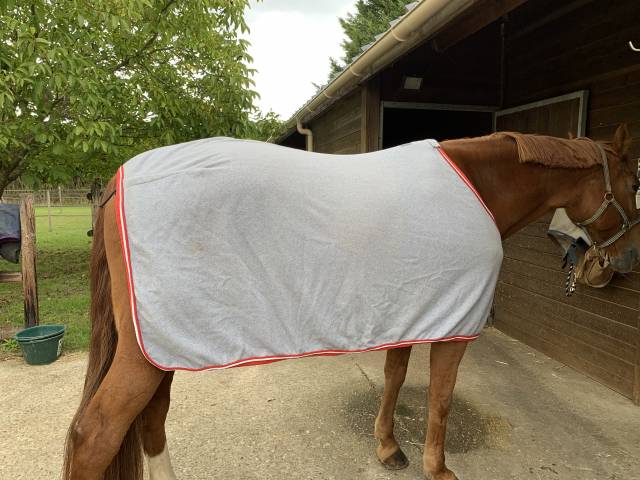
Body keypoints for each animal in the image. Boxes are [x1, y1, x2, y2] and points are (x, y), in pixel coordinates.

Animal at [62, 125, 640, 480]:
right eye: (635, 180)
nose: (623, 259)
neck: (478, 187)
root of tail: (117, 179)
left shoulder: (415, 310)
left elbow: (395, 378)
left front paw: (388, 448)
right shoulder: (454, 326)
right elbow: (441, 400)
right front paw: (438, 468)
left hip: (166, 344)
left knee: (151, 421)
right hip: (146, 351)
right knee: (97, 434)